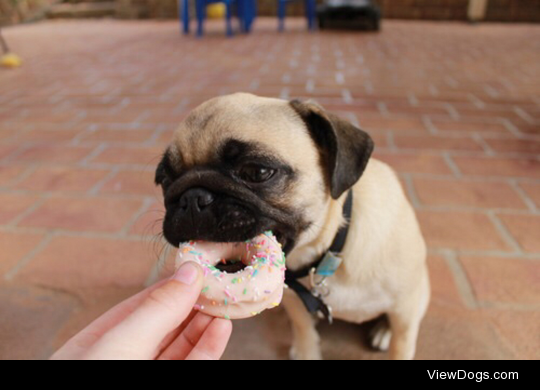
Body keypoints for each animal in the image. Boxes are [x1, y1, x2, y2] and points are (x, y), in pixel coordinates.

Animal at [155, 92, 430, 360]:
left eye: (257, 172)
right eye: (164, 180)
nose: (192, 199)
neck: (325, 255)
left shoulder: (405, 310)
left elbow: (401, 345)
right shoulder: (293, 300)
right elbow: (303, 328)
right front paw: (306, 350)